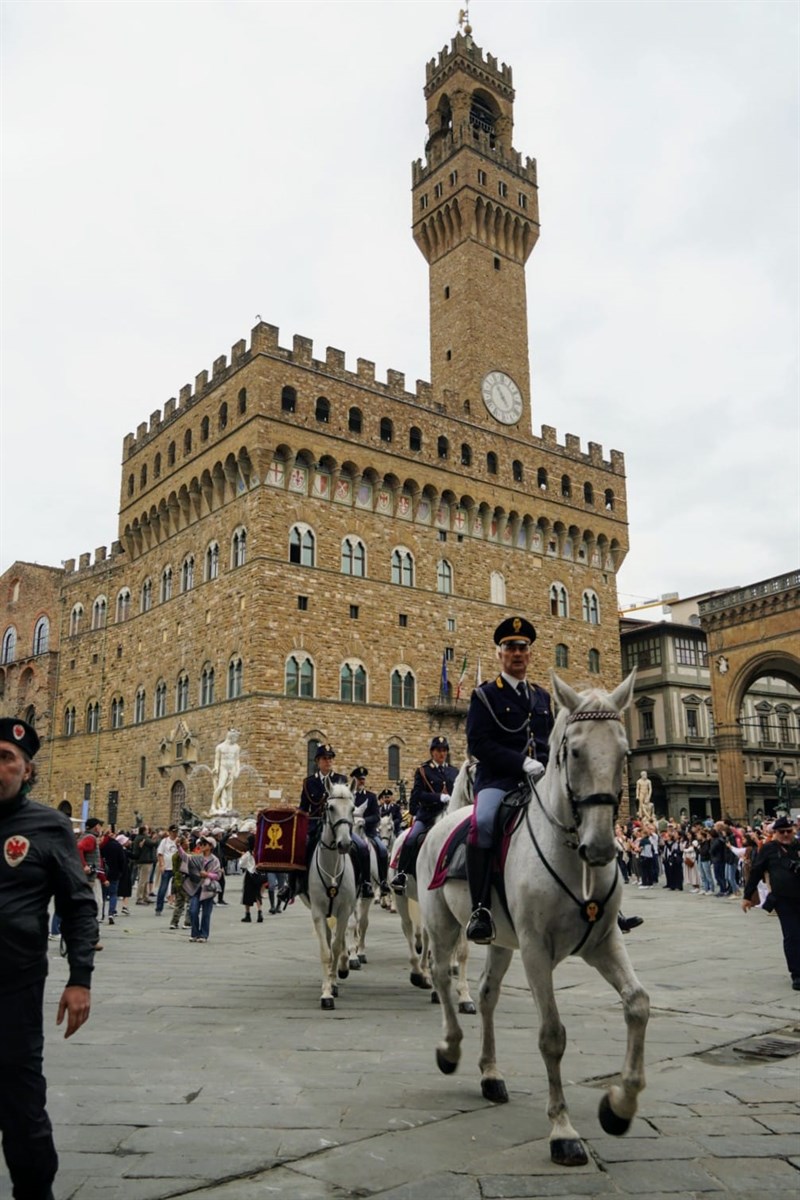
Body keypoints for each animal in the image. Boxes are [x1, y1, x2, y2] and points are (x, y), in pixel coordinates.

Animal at [419, 676, 652, 1171]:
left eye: (624, 751)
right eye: (574, 751)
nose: (600, 846)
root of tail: (447, 821)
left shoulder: (604, 941)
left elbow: (638, 1004)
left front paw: (619, 1107)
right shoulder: (535, 949)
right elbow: (552, 1035)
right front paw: (563, 1131)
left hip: (498, 938)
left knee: (486, 994)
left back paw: (490, 1074)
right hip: (442, 922)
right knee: (442, 976)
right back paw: (450, 1048)